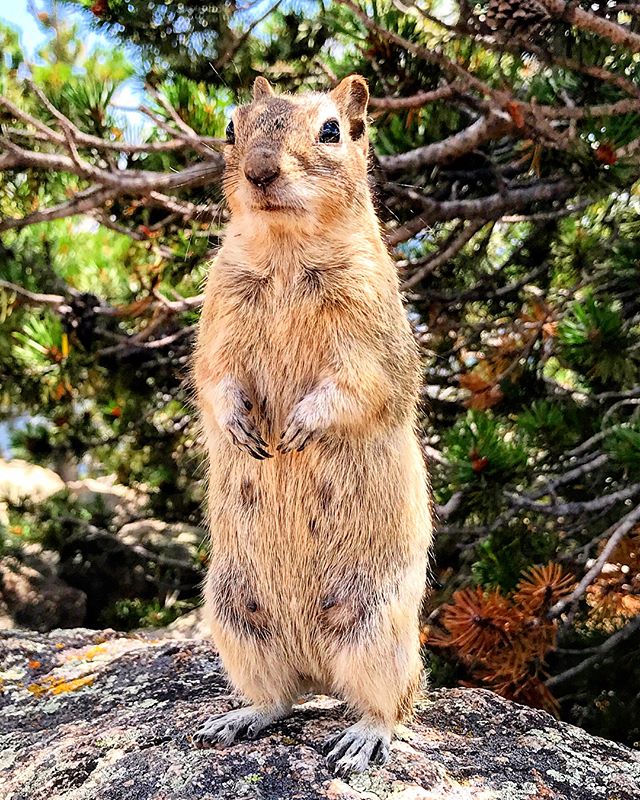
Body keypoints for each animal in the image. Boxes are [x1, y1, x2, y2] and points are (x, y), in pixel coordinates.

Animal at [189, 73, 430, 776]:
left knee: (395, 702)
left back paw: (363, 739)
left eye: (331, 130)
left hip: (377, 626)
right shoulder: (217, 321)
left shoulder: (371, 336)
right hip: (235, 619)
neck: (286, 246)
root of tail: (321, 669)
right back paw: (239, 718)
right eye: (231, 127)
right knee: (282, 697)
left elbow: (355, 386)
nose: (260, 170)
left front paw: (298, 429)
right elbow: (213, 380)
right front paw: (244, 430)